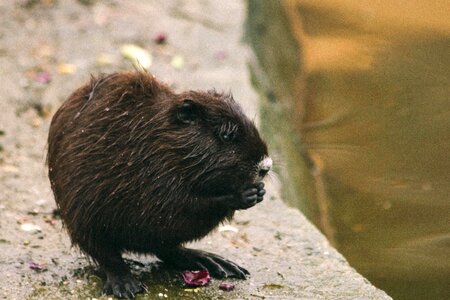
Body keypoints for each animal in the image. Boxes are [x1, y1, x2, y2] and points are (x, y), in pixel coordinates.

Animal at [46, 71, 270, 298]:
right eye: (226, 135)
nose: (266, 166)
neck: (157, 136)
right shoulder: (145, 170)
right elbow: (168, 210)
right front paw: (243, 195)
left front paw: (260, 191)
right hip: (82, 218)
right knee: (107, 252)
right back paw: (126, 284)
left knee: (166, 248)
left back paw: (212, 262)